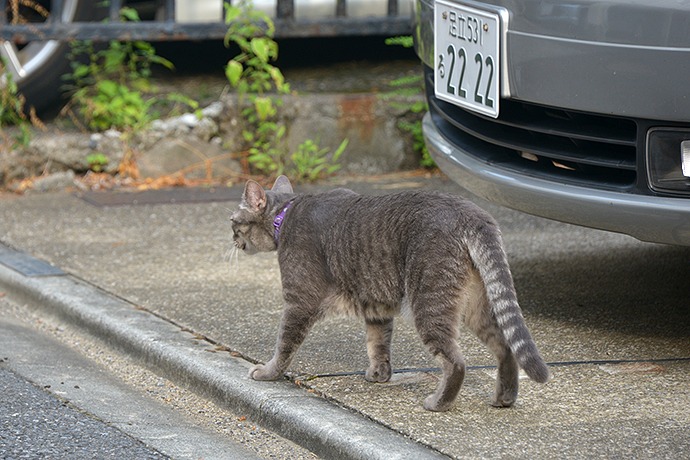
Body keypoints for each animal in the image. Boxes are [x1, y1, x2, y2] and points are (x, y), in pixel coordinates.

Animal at [231, 175, 548, 410]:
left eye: (233, 221)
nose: (231, 237)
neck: (285, 215)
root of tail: (473, 213)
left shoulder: (299, 302)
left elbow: (284, 345)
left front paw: (268, 372)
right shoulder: (376, 306)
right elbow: (378, 344)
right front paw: (379, 375)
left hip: (429, 303)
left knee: (456, 362)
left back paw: (439, 403)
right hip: (476, 306)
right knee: (505, 347)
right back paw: (504, 398)